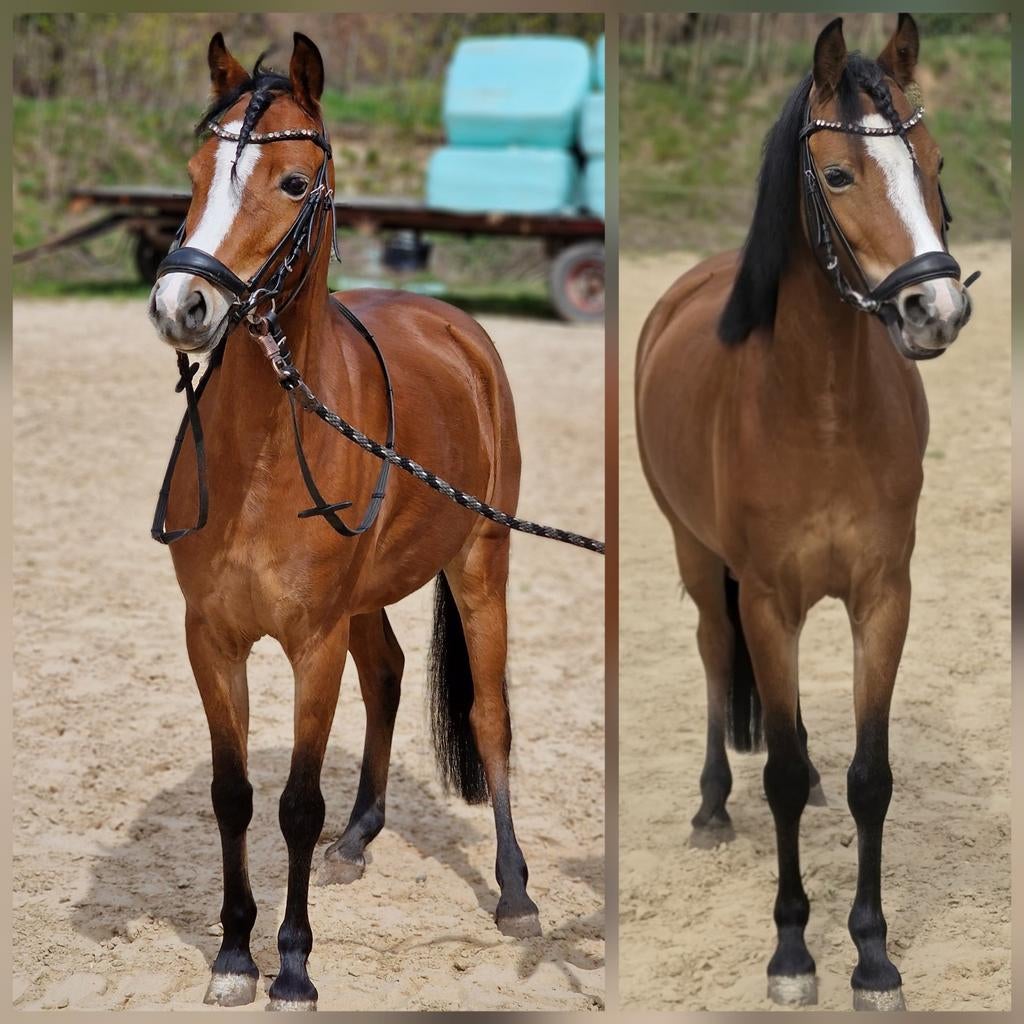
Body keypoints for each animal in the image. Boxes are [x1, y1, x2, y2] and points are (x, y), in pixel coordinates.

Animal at [147, 32, 542, 1010]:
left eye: (293, 183)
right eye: (195, 171)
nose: (181, 306)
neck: (261, 455)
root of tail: (455, 325)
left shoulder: (312, 641)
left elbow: (294, 803)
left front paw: (291, 965)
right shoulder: (212, 638)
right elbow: (233, 796)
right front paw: (234, 955)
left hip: (481, 566)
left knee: (488, 716)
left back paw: (515, 893)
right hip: (368, 599)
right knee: (391, 675)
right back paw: (361, 837)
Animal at [634, 15, 974, 1012]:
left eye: (933, 161)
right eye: (836, 175)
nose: (936, 309)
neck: (817, 406)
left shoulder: (883, 598)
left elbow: (871, 778)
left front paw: (873, 955)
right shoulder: (766, 602)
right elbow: (778, 775)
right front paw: (792, 953)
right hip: (700, 561)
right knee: (716, 662)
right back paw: (711, 807)